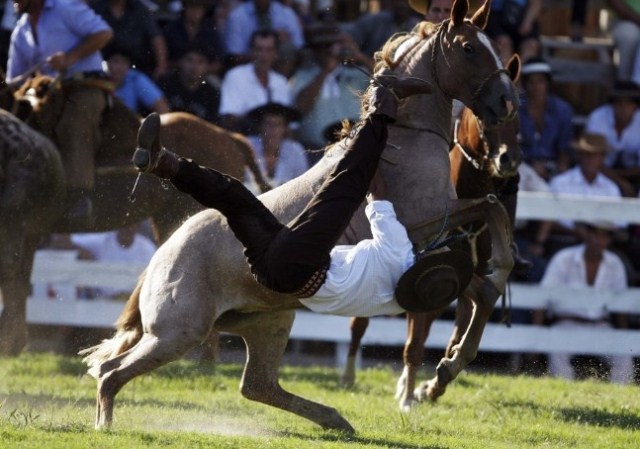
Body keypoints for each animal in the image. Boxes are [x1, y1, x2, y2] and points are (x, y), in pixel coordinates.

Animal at [0, 77, 270, 356]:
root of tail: (230, 138)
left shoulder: (17, 223)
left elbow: (12, 275)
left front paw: (9, 343)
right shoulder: (29, 230)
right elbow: (20, 278)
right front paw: (14, 342)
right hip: (167, 220)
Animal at [340, 107, 520, 408]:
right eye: (481, 117)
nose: (508, 160)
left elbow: (454, 331)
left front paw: (430, 386)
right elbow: (414, 344)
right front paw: (409, 397)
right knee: (360, 325)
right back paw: (351, 376)